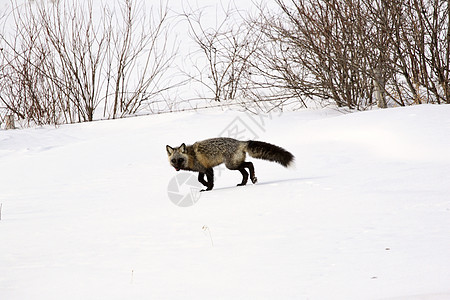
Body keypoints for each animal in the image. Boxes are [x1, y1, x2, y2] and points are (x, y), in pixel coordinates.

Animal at [165, 138, 296, 191]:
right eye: (173, 160)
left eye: (180, 160)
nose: (176, 167)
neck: (191, 156)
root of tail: (241, 142)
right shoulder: (202, 170)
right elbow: (200, 179)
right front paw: (205, 185)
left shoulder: (208, 169)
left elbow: (209, 181)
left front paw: (208, 189)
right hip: (234, 165)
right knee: (245, 172)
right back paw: (243, 183)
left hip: (231, 166)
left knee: (250, 164)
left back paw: (253, 178)